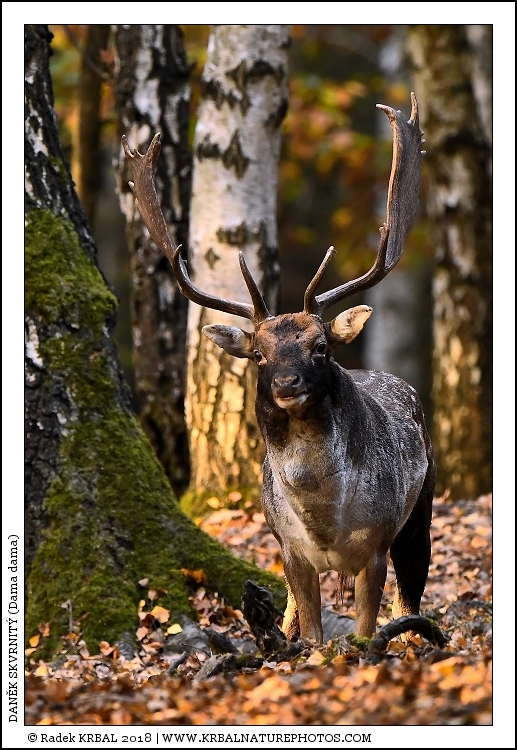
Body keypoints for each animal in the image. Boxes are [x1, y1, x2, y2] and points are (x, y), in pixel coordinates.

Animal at [122, 92, 435, 643]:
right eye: (260, 354)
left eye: (320, 346)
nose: (288, 383)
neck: (325, 520)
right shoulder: (291, 552)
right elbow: (310, 634)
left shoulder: (375, 545)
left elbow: (364, 629)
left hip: (420, 511)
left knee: (411, 595)